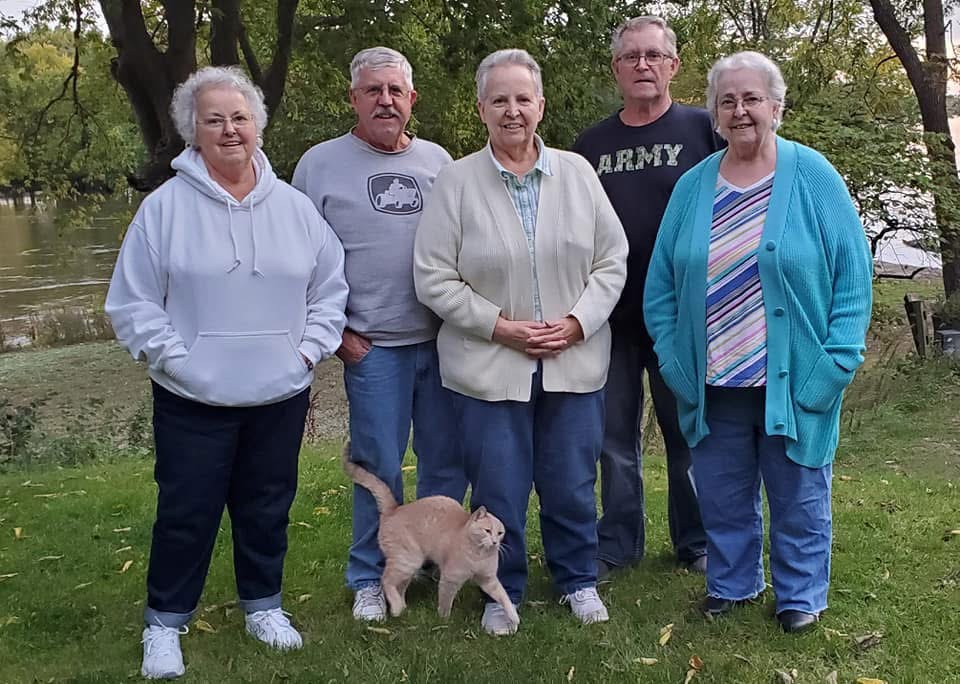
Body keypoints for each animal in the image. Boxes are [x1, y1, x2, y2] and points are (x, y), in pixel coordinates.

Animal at [342, 443, 520, 627]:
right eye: (487, 531)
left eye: (500, 533)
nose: (495, 542)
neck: (479, 554)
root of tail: (394, 509)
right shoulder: (450, 579)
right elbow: (445, 602)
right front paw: (444, 621)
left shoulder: (489, 580)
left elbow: (503, 596)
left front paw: (513, 616)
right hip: (408, 559)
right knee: (386, 579)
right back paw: (397, 607)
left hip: (409, 565)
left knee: (399, 586)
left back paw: (402, 607)